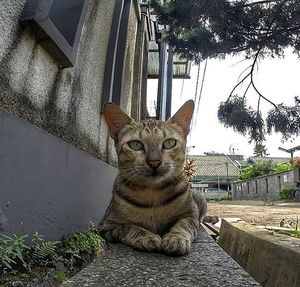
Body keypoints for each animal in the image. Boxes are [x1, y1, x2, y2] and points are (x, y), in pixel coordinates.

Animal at [98, 99, 209, 256]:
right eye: (135, 144)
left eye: (170, 143)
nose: (154, 162)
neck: (153, 193)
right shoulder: (108, 225)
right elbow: (128, 227)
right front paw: (147, 236)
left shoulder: (189, 216)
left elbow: (183, 225)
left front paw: (176, 238)